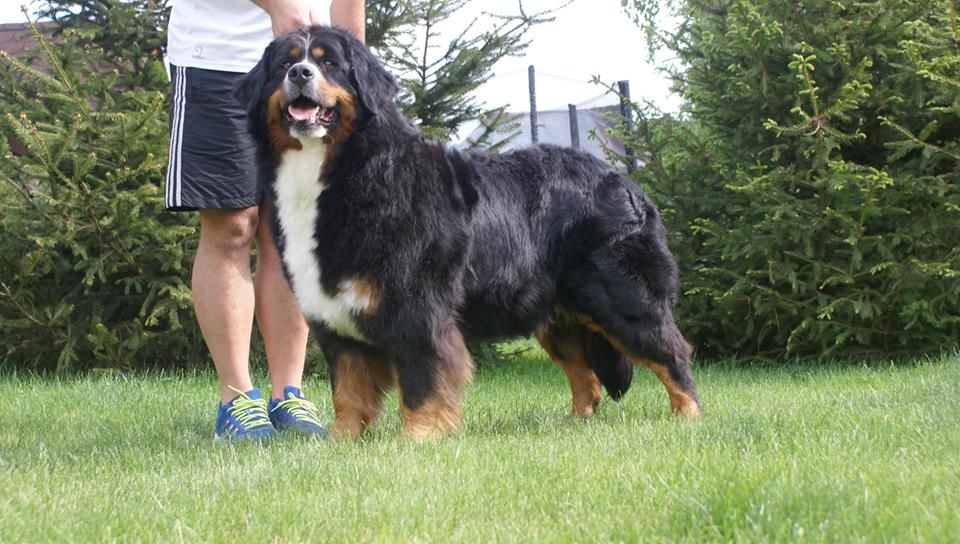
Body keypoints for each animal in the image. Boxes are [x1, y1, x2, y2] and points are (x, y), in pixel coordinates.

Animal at [236, 25, 701, 438]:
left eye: (328, 63)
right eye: (285, 64)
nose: (300, 74)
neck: (342, 169)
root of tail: (622, 179)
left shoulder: (417, 307)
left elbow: (422, 378)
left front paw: (420, 435)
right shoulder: (335, 313)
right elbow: (349, 388)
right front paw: (342, 439)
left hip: (622, 298)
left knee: (672, 353)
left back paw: (687, 417)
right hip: (557, 316)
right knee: (583, 374)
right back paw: (574, 423)